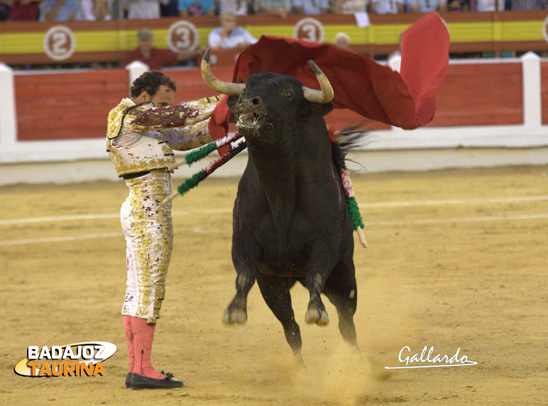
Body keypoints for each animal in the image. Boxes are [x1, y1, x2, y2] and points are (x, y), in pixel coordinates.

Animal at [201, 52, 360, 364]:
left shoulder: (327, 240)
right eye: (249, 84)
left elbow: (316, 274)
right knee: (291, 327)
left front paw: (316, 311)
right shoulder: (245, 239)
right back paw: (300, 368)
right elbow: (244, 274)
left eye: (288, 94)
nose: (248, 101)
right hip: (274, 288)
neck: (280, 188)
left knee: (347, 322)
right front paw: (234, 311)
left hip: (345, 277)